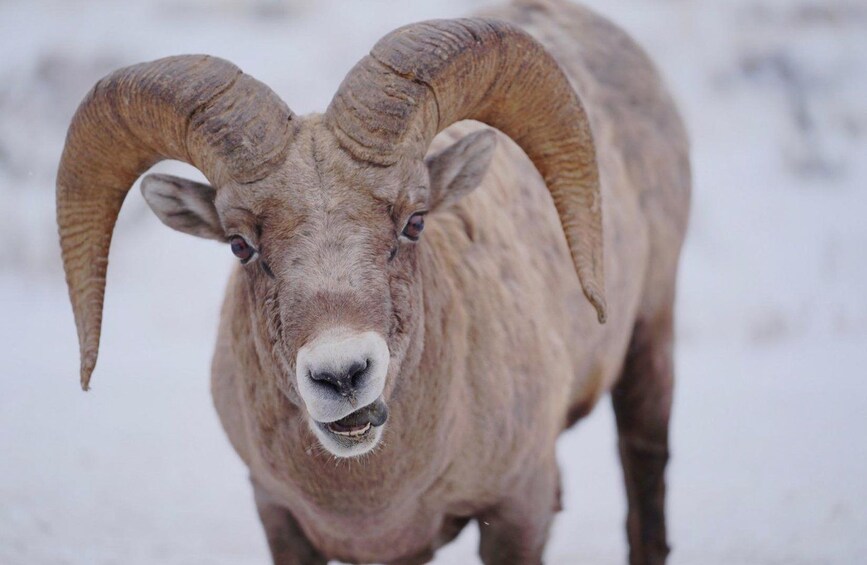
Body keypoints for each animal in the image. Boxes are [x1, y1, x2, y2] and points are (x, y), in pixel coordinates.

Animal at [56, 0, 690, 563]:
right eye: (240, 244)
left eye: (415, 221)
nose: (342, 375)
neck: (370, 499)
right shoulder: (280, 518)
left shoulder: (518, 509)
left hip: (649, 338)